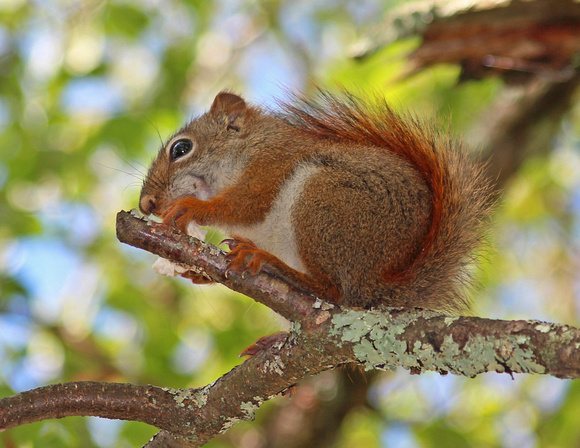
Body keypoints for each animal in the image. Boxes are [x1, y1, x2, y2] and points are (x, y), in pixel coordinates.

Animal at [138, 90, 492, 316]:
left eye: (181, 149)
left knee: (334, 291)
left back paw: (268, 262)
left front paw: (192, 208)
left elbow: (250, 204)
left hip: (321, 201)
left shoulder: (272, 165)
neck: (250, 145)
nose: (146, 205)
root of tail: (377, 285)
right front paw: (200, 272)